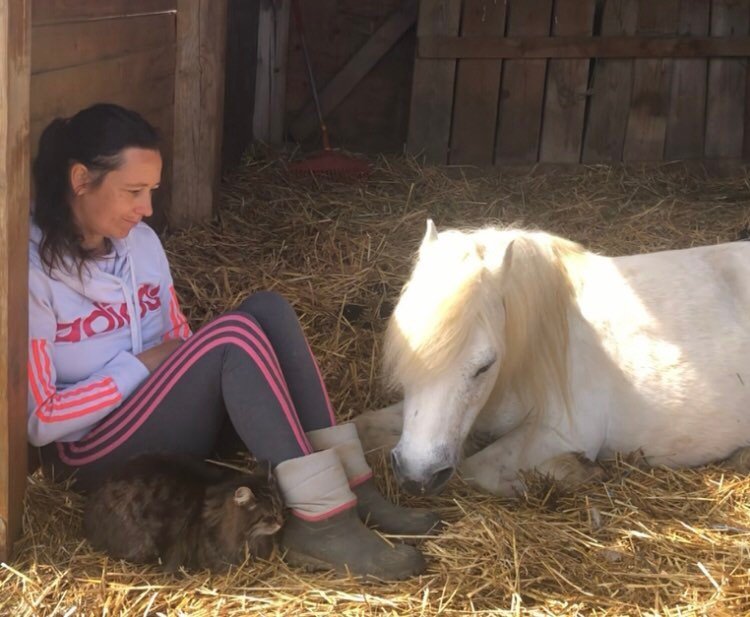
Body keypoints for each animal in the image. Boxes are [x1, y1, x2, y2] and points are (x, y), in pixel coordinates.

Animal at [356, 220, 750, 496]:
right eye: (405, 353)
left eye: (485, 366)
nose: (417, 476)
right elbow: (363, 427)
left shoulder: (560, 433)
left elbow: (476, 468)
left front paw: (576, 472)